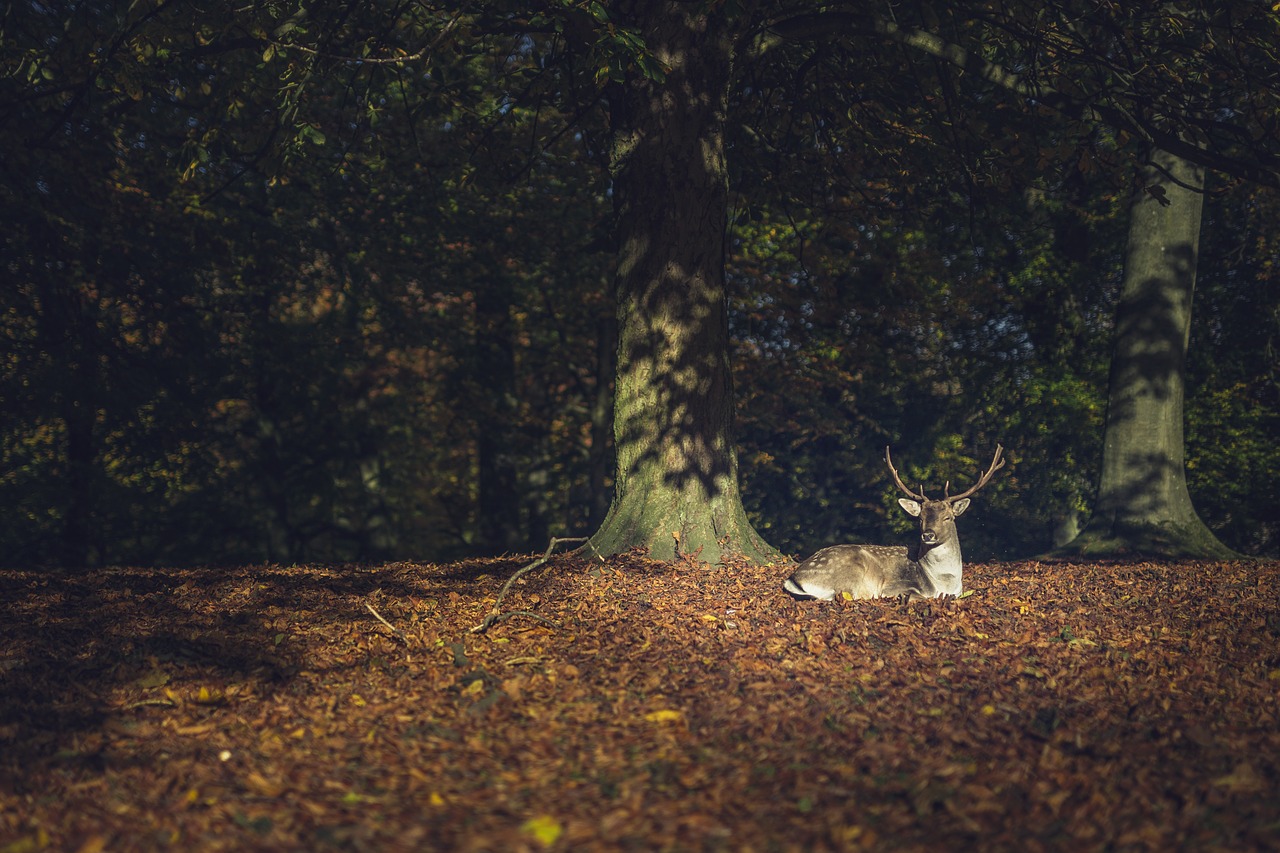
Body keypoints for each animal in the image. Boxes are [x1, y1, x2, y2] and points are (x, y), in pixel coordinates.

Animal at [778, 445, 1008, 596]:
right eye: (920, 518)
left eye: (948, 517)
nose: (928, 534)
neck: (944, 582)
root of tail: (795, 578)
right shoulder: (895, 586)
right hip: (851, 575)